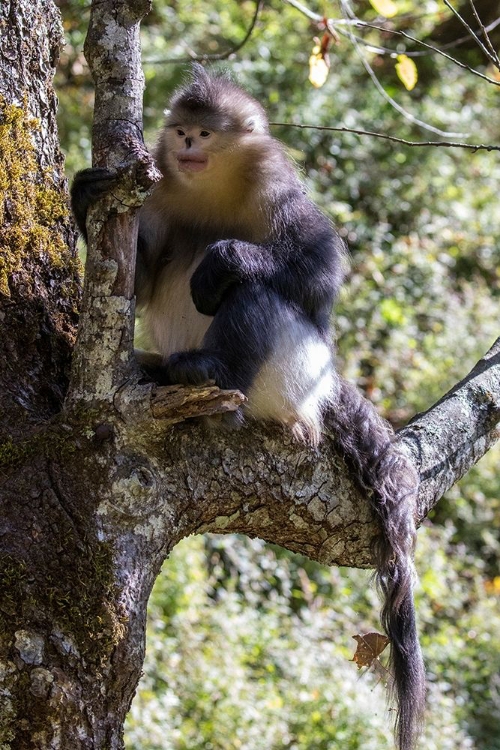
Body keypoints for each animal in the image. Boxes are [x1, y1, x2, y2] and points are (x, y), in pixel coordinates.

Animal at [71, 64, 426, 750]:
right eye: (181, 129)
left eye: (205, 131)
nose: (185, 143)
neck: (212, 185)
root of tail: (323, 390)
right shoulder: (156, 196)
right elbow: (138, 281)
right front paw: (84, 195)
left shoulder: (279, 191)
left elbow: (317, 277)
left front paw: (229, 258)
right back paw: (165, 372)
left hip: (295, 374)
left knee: (255, 293)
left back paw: (212, 374)